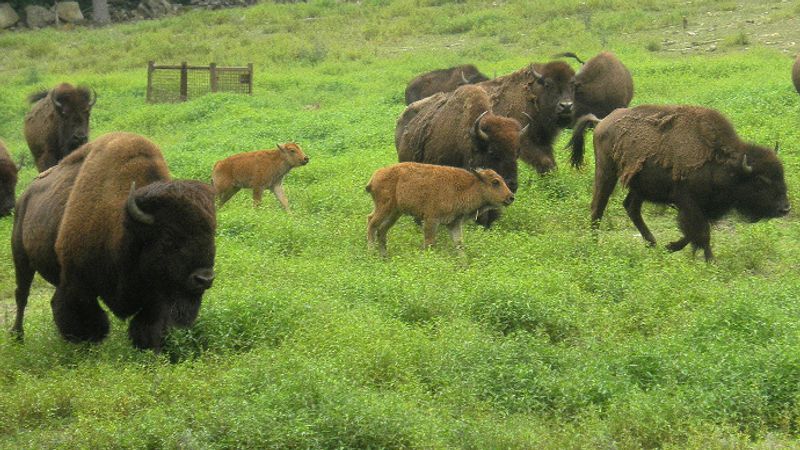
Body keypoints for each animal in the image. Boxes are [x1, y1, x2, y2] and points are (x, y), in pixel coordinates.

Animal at [12, 132, 216, 351]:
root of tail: (24, 196)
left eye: (212, 232)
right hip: (21, 258)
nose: (204, 279)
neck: (126, 227)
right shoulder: (77, 282)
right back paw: (17, 336)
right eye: (169, 237)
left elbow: (151, 324)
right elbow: (85, 317)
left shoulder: (158, 294)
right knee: (22, 295)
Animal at [571, 105, 790, 261]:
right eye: (761, 181)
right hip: (606, 173)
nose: (785, 209)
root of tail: (601, 122)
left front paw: (671, 247)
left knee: (631, 207)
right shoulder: (688, 202)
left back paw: (653, 243)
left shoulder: (701, 207)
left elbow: (694, 232)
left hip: (640, 186)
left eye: (781, 175)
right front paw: (711, 260)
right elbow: (700, 232)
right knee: (598, 207)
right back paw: (595, 244)